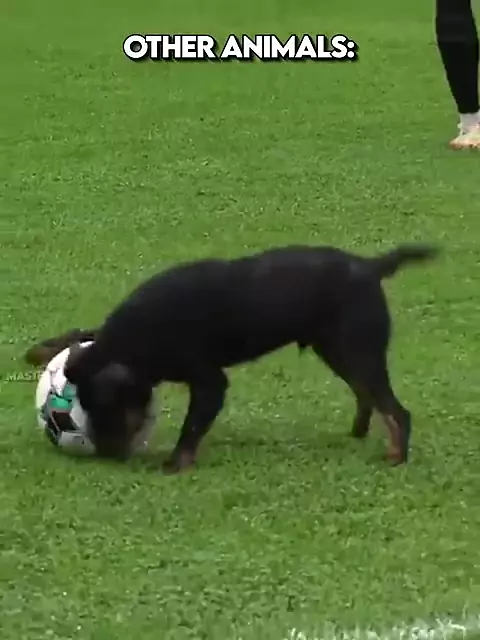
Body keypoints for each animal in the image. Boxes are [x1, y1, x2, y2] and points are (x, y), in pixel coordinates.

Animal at [24, 243, 438, 473]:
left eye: (109, 409)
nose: (108, 455)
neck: (135, 339)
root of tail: (371, 266)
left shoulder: (210, 382)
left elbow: (191, 427)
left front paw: (174, 464)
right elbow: (79, 334)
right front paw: (39, 350)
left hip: (357, 351)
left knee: (397, 411)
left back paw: (396, 456)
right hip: (339, 351)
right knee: (367, 396)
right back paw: (359, 434)